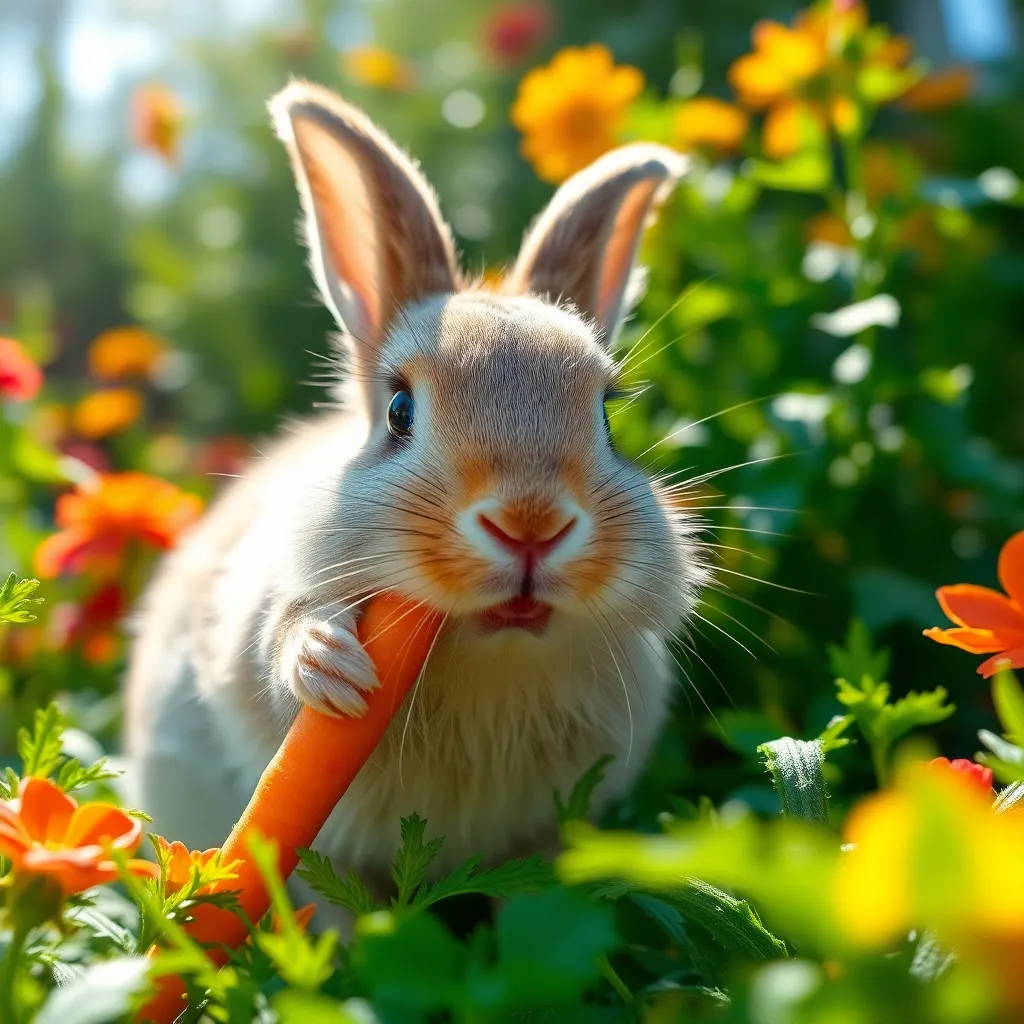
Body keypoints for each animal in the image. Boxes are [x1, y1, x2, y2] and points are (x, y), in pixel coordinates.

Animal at [123, 81, 710, 914]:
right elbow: (280, 632)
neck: (484, 654)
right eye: (400, 411)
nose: (530, 525)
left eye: (606, 414)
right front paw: (330, 665)